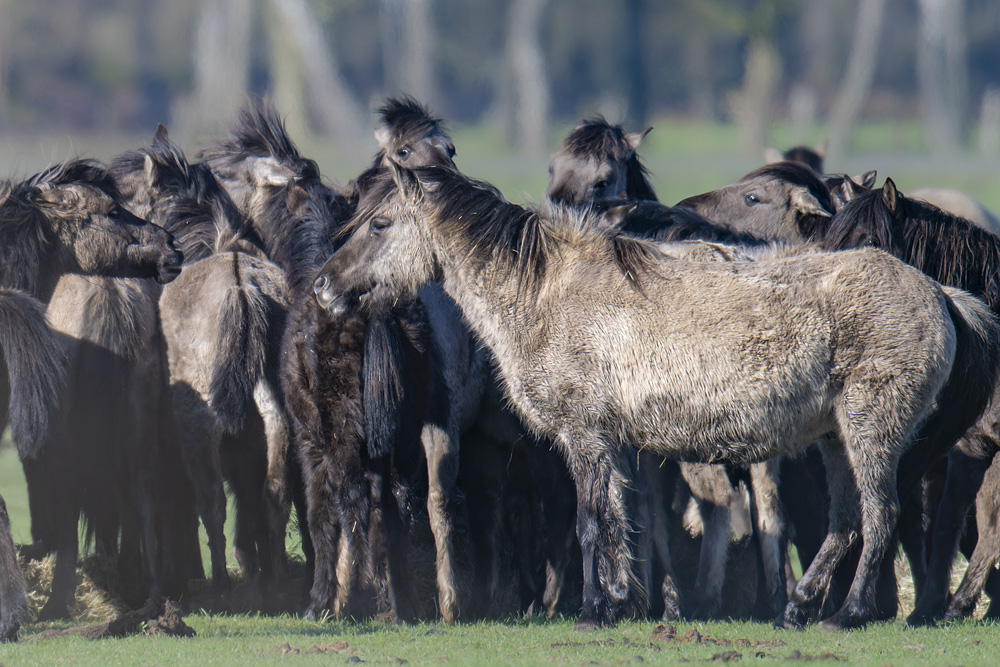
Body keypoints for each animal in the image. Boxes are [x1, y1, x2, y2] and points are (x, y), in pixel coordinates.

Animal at [314, 163, 1000, 632]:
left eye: (381, 223)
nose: (323, 285)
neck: (547, 290)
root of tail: (941, 293)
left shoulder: (584, 436)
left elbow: (592, 521)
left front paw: (594, 610)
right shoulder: (615, 442)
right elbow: (623, 519)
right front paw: (622, 602)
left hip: (869, 432)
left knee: (880, 515)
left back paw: (846, 613)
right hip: (834, 438)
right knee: (846, 520)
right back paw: (798, 606)